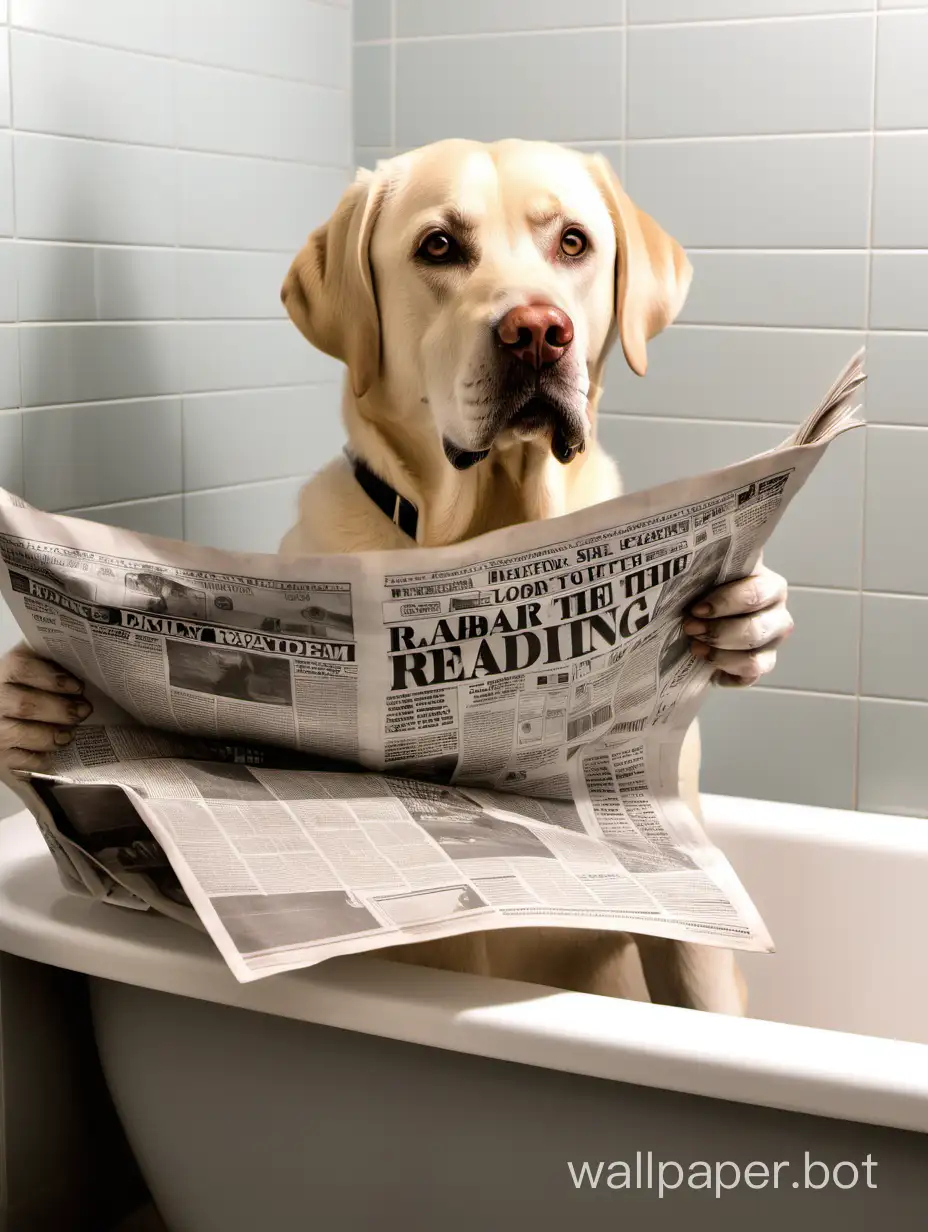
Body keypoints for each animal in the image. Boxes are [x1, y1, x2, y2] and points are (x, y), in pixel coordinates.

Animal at [0, 139, 788, 1015]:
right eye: (439, 246)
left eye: (573, 243)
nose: (539, 332)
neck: (485, 531)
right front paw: (26, 708)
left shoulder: (677, 865)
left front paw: (746, 620)